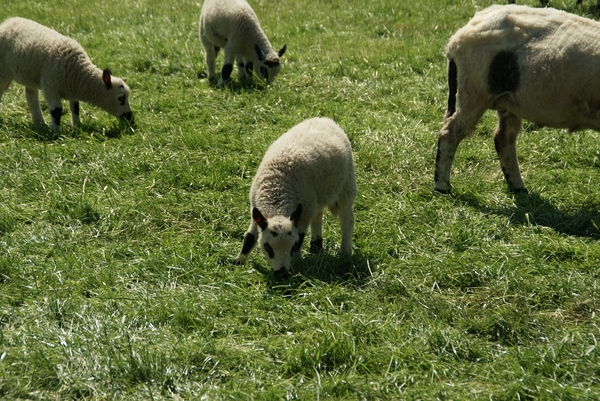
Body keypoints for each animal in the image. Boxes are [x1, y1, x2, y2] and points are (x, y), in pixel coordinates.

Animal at [0, 17, 132, 133]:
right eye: (121, 98)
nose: (130, 117)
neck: (79, 72)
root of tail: (7, 22)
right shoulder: (50, 86)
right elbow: (56, 110)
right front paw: (55, 132)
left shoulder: (71, 88)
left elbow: (75, 108)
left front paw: (77, 126)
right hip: (4, 71)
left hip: (30, 75)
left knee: (31, 95)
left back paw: (40, 124)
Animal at [233, 117, 356, 276]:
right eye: (267, 247)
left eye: (292, 246)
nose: (282, 274)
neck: (276, 195)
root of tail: (324, 119)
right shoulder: (256, 210)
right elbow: (250, 237)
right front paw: (238, 262)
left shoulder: (303, 214)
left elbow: (300, 236)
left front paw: (297, 262)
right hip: (316, 195)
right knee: (318, 214)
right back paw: (316, 246)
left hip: (346, 183)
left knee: (347, 218)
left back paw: (345, 252)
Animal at [434, 4, 600, 194]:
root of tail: (457, 38)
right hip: (474, 89)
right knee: (450, 134)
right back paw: (442, 186)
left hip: (506, 100)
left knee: (504, 138)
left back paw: (517, 186)